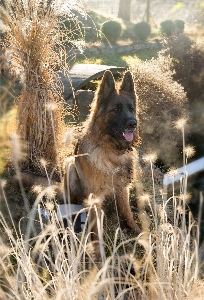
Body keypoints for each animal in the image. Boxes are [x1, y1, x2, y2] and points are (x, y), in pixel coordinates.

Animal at [64, 70, 142, 239]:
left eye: (131, 109)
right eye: (116, 109)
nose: (133, 124)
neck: (113, 151)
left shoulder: (122, 188)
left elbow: (127, 212)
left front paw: (138, 231)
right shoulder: (95, 196)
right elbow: (95, 224)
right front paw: (97, 243)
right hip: (70, 167)